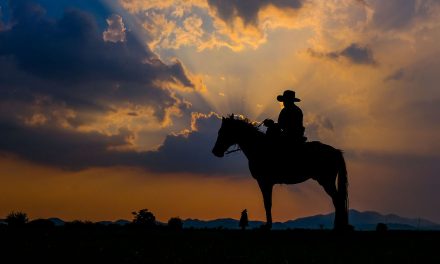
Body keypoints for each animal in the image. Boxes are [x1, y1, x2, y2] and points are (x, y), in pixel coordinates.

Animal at [211, 115, 348, 229]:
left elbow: (267, 203)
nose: (215, 151)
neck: (258, 147)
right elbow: (268, 203)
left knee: (338, 200)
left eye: (223, 132)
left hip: (326, 181)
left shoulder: (264, 181)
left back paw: (338, 227)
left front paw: (267, 226)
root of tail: (336, 151)